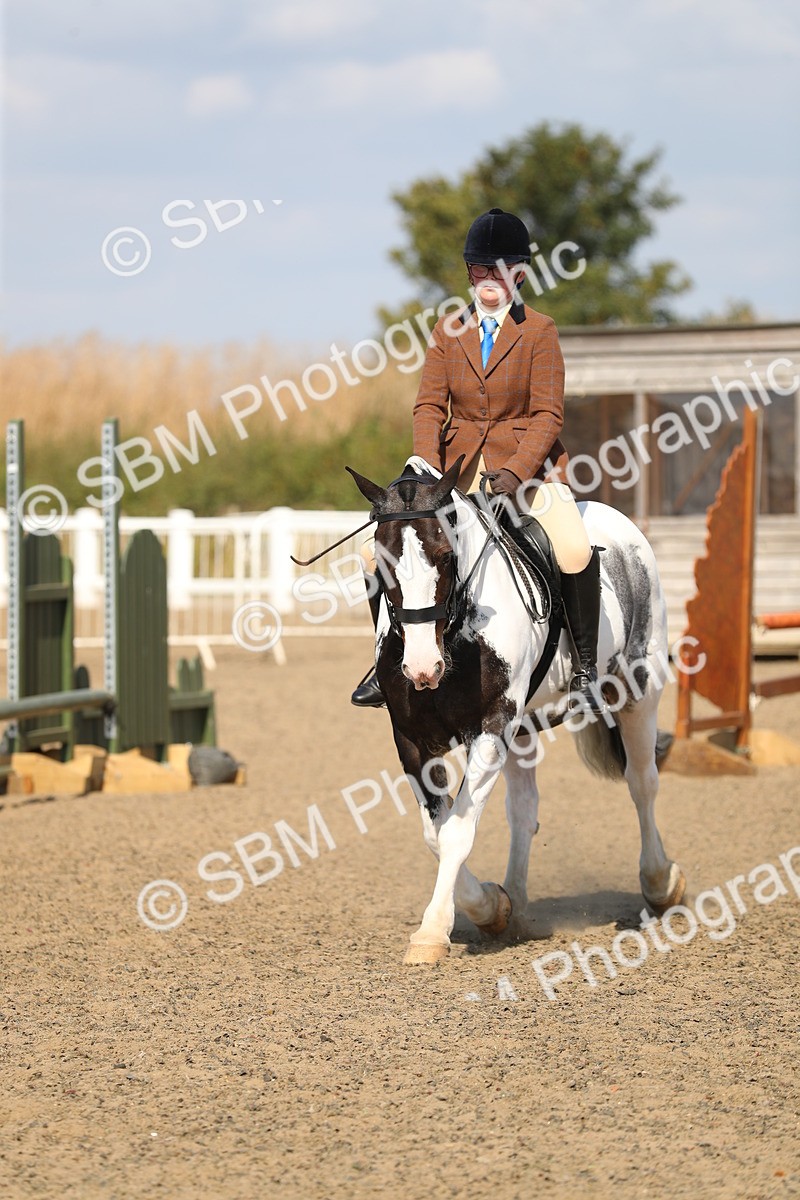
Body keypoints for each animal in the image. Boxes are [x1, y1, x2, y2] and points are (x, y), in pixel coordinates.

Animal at [346, 455, 686, 965]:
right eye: (382, 564)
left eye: (445, 556)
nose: (423, 669)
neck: (456, 633)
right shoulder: (412, 739)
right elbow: (436, 833)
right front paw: (491, 907)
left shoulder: (491, 725)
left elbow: (457, 831)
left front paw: (432, 932)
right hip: (524, 729)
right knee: (524, 810)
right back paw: (518, 905)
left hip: (638, 695)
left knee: (642, 784)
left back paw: (661, 883)